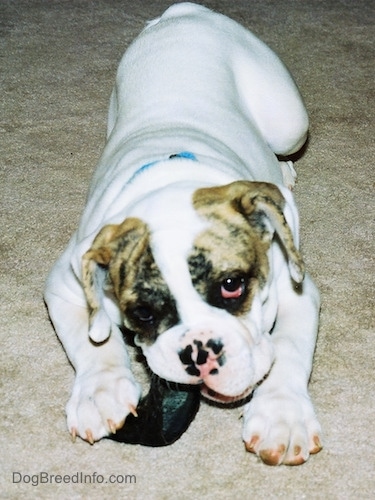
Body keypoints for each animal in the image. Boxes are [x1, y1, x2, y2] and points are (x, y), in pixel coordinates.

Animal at [44, 2, 324, 464]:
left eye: (232, 285)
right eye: (142, 313)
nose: (199, 353)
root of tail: (183, 13)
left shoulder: (297, 291)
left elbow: (288, 348)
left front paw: (282, 416)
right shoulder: (64, 284)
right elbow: (93, 340)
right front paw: (100, 391)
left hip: (289, 121)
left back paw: (281, 171)